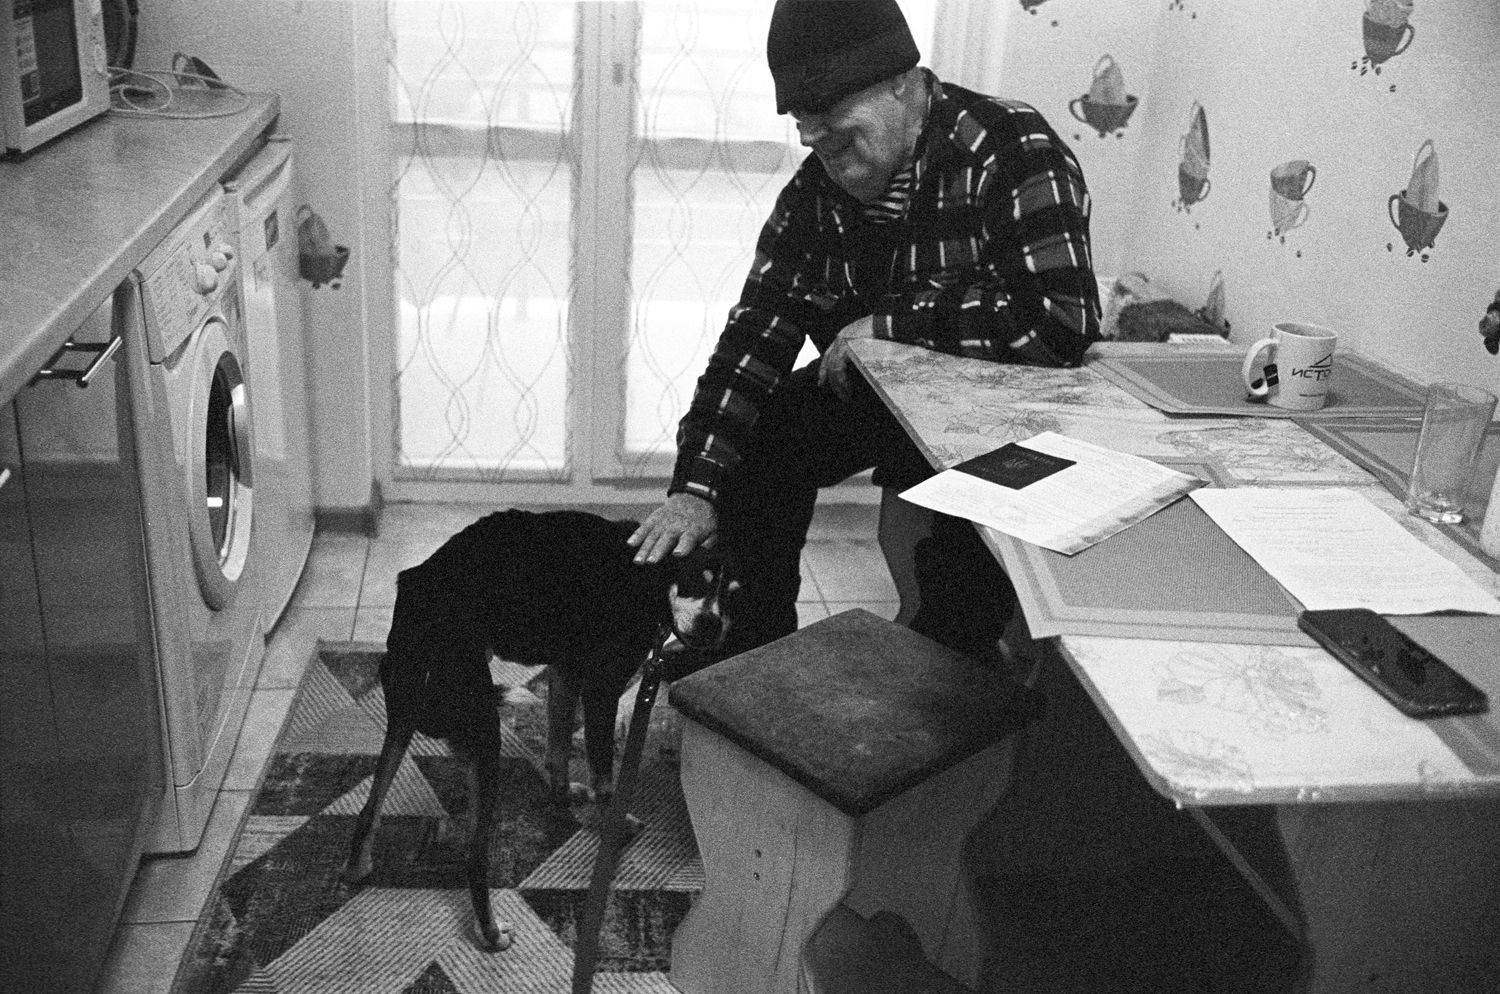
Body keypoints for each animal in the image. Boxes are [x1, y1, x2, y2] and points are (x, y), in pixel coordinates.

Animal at [342, 508, 738, 951]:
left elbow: (559, 747)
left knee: (369, 808)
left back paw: (357, 868)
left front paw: (563, 796)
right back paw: (490, 934)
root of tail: (417, 598)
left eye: (733, 595)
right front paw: (614, 825)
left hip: (403, 720)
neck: (648, 574)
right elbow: (604, 779)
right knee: (474, 855)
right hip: (484, 732)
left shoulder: (565, 672)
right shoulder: (601, 689)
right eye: (695, 581)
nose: (712, 624)